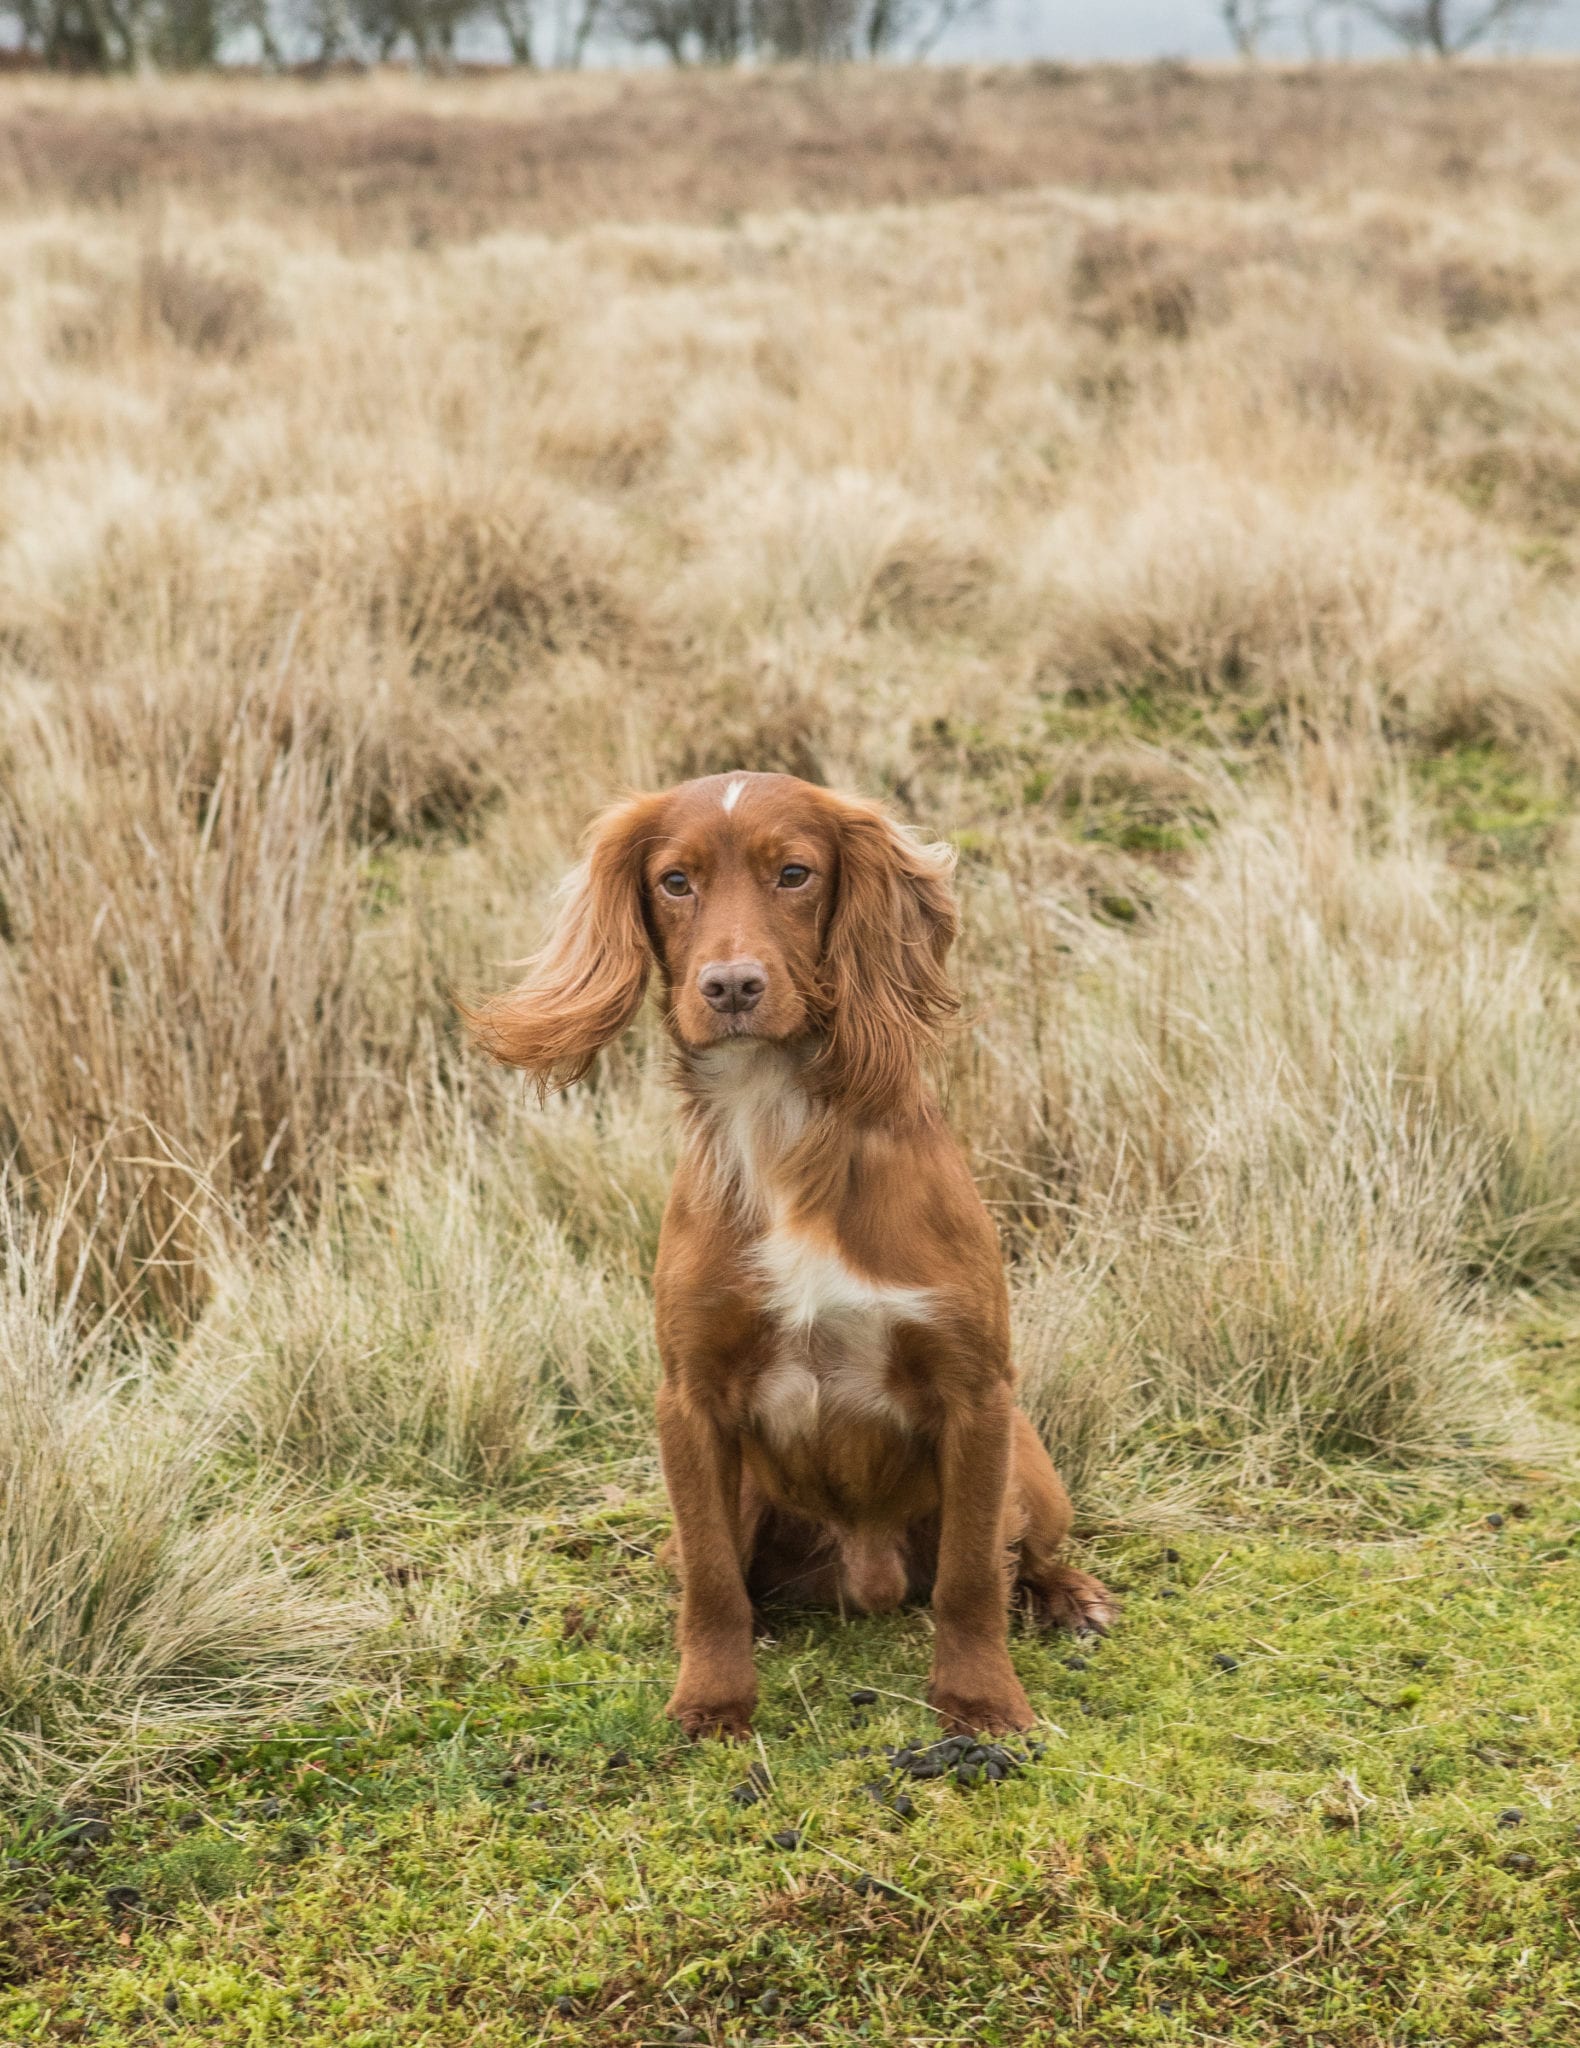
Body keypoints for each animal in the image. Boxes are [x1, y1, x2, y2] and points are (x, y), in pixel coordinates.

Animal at [467, 774, 1114, 1736]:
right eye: (675, 881)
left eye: (795, 874)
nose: (731, 985)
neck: (778, 1121)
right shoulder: (690, 1401)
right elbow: (712, 1581)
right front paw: (713, 1702)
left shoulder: (977, 1393)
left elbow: (970, 1576)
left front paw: (981, 1702)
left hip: (1033, 1474)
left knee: (1017, 1556)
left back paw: (1069, 1596)